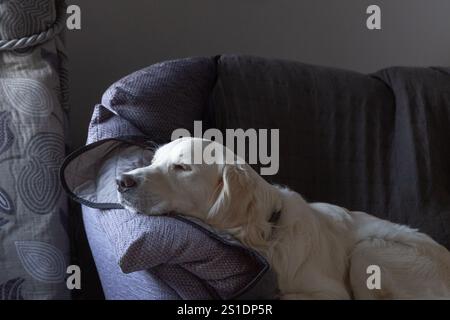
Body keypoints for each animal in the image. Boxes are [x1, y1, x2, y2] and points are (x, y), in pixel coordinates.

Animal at [115, 138, 450, 300]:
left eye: (182, 167)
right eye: (154, 160)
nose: (121, 181)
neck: (268, 234)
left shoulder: (332, 294)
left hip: (369, 250)